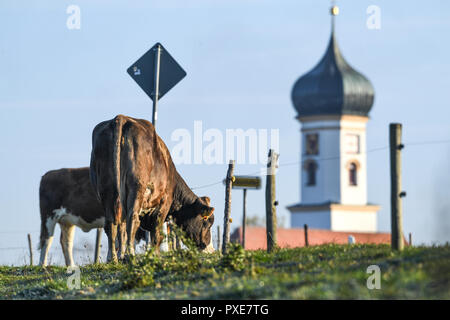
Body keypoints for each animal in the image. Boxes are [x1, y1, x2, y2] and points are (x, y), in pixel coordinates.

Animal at [90, 115, 215, 262]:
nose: (210, 249)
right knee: (133, 219)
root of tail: (121, 118)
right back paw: (130, 254)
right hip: (136, 187)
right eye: (206, 221)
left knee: (111, 224)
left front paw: (120, 255)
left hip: (106, 189)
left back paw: (113, 258)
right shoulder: (164, 202)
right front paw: (155, 255)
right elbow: (156, 232)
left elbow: (122, 228)